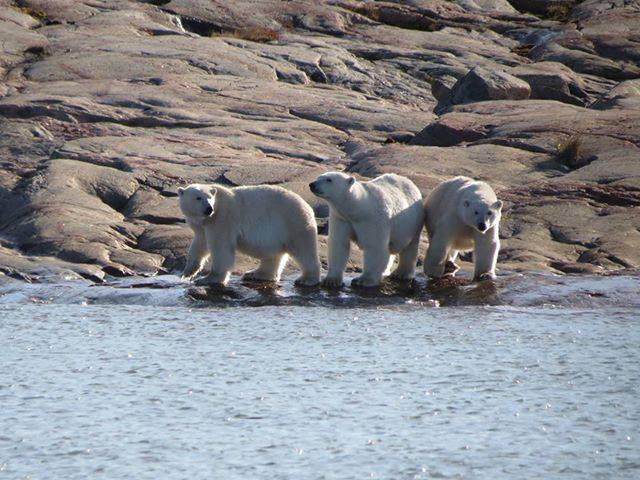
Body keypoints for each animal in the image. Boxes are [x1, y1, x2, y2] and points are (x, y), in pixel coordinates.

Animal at [178, 183, 321, 287]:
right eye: (198, 197)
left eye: (210, 198)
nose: (209, 209)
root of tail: (307, 206)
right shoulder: (202, 227)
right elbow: (199, 244)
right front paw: (188, 272)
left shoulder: (223, 218)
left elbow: (221, 247)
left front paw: (208, 278)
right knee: (273, 254)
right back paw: (256, 273)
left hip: (293, 222)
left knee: (303, 250)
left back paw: (306, 279)